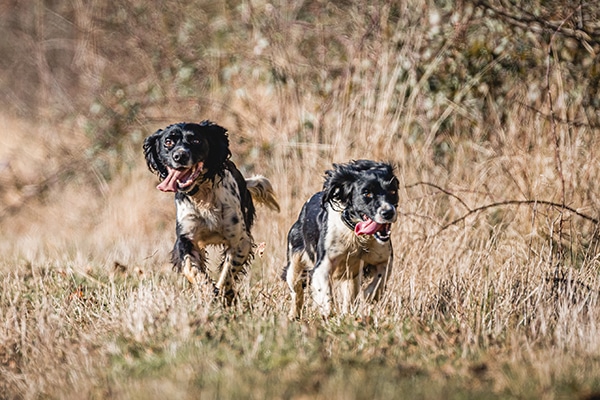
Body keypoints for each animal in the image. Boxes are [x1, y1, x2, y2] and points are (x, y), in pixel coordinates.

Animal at [144, 122, 280, 304]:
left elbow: (228, 272)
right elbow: (193, 269)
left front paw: (224, 295)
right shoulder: (186, 239)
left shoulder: (240, 240)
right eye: (168, 142)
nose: (180, 156)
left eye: (195, 140)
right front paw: (208, 292)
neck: (203, 196)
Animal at [282, 159, 398, 318]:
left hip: (351, 277)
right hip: (294, 263)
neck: (355, 235)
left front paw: (368, 296)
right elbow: (324, 291)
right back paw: (294, 316)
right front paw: (327, 311)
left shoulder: (384, 258)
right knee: (296, 291)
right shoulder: (323, 264)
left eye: (393, 191)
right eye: (367, 193)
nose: (388, 212)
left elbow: (380, 279)